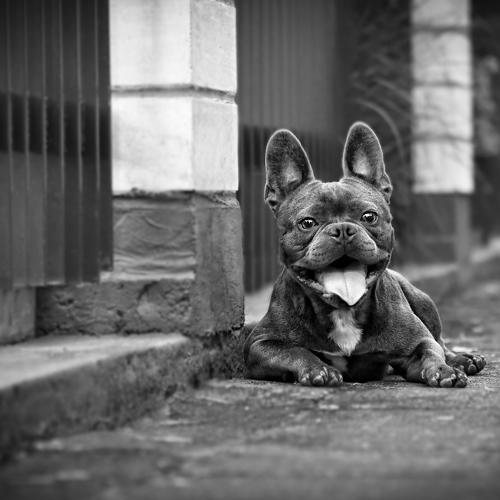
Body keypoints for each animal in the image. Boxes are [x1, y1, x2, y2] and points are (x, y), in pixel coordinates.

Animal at [244, 122, 486, 388]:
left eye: (369, 216)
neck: (343, 311)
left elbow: (430, 350)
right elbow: (295, 351)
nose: (342, 229)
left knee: (440, 341)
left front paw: (443, 370)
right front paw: (319, 369)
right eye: (307, 223)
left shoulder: (417, 341)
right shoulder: (260, 345)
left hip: (422, 300)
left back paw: (463, 359)